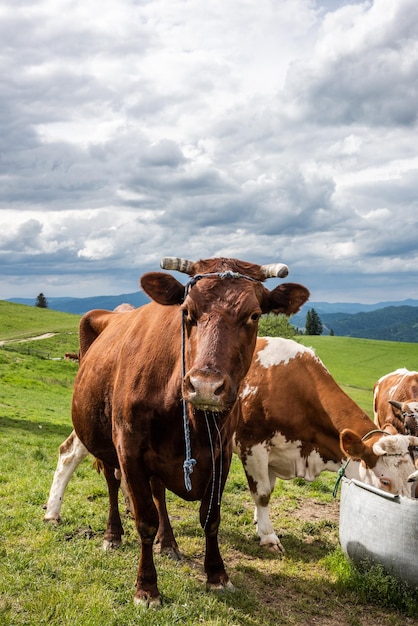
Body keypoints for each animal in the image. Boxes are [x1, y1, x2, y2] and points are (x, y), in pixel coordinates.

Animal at [68, 255, 308, 604]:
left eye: (254, 315)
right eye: (186, 312)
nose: (206, 386)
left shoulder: (222, 453)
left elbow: (211, 518)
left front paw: (217, 575)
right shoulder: (129, 449)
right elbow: (145, 520)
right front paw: (147, 588)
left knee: (159, 493)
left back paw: (169, 543)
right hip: (104, 444)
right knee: (113, 484)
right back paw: (113, 535)